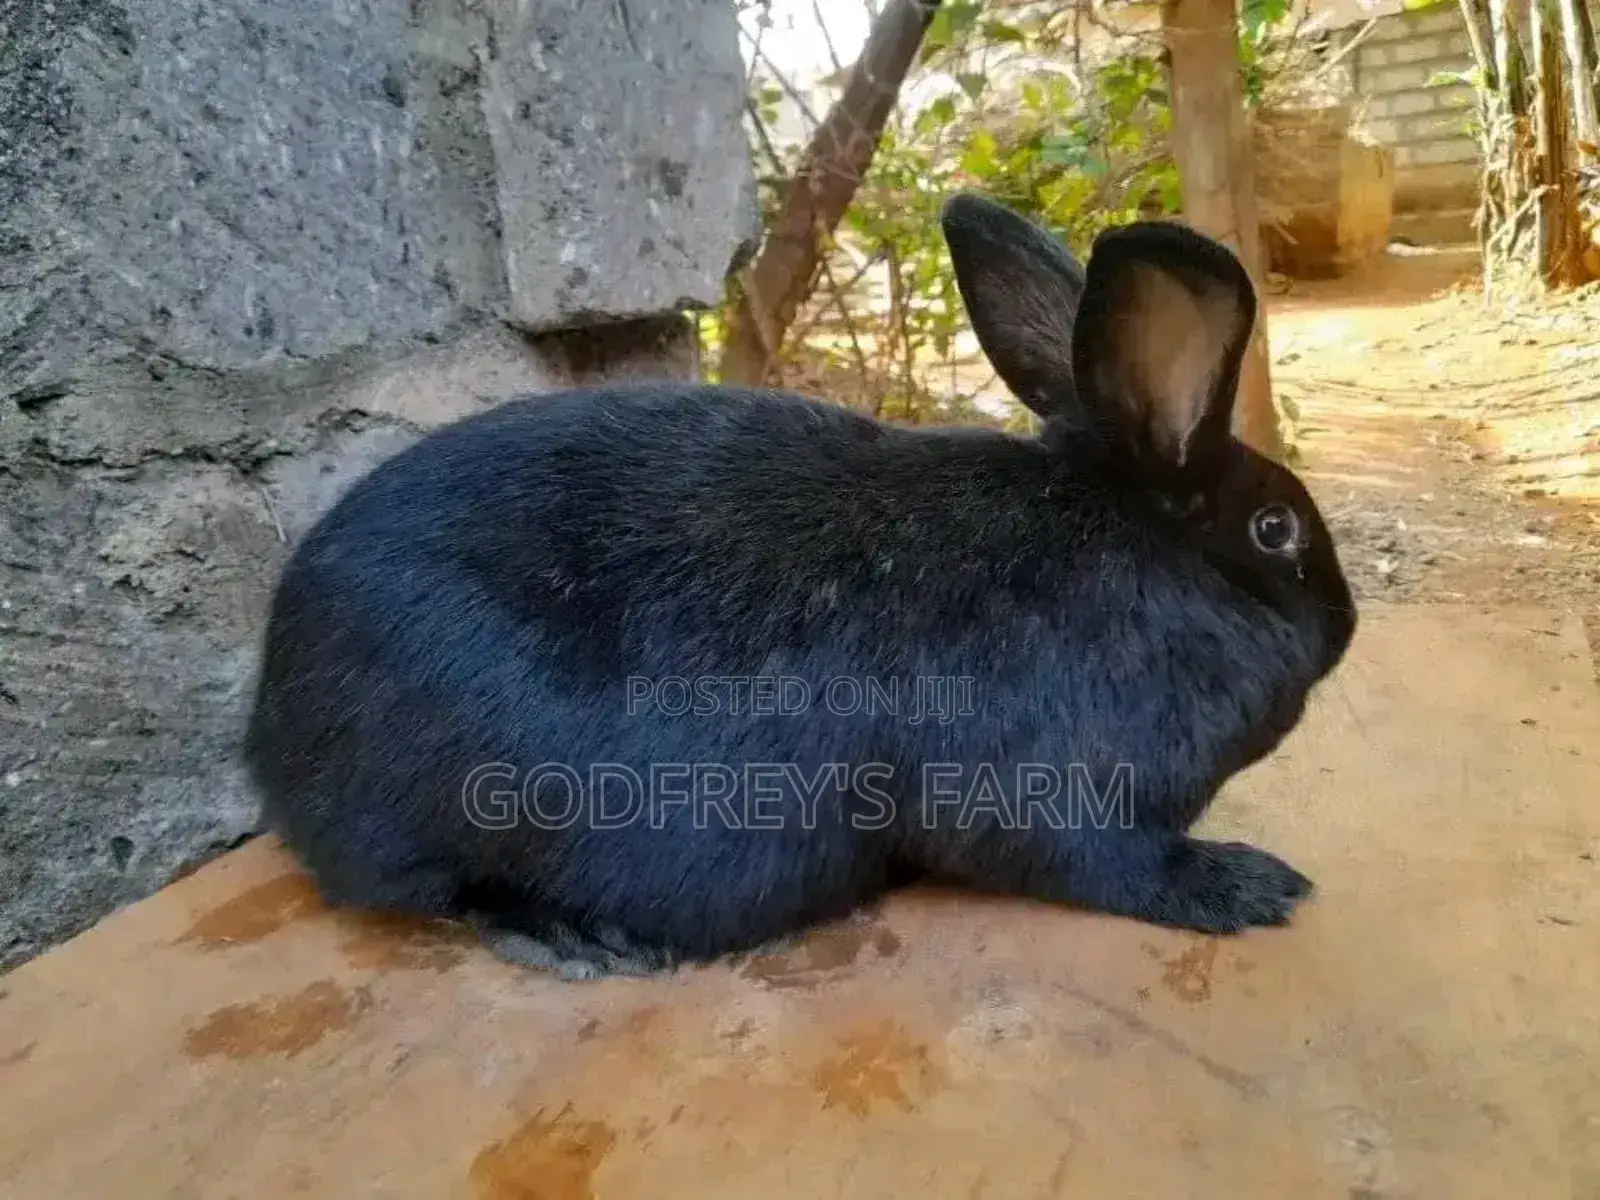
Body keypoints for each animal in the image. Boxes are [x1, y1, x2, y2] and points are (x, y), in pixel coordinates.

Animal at [242, 192, 1357, 980]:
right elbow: (1119, 866)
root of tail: (271, 731)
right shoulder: (1058, 796)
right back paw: (585, 942)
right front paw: (1251, 885)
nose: (1347, 622)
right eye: (1275, 530)